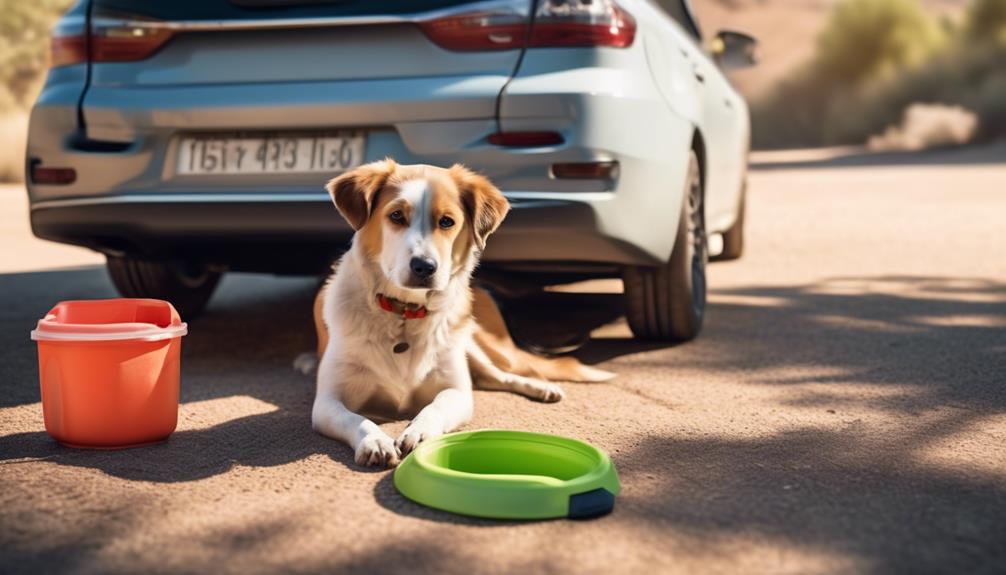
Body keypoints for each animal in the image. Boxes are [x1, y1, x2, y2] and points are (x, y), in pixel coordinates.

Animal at [297, 158, 611, 466]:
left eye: (447, 221)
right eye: (397, 216)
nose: (424, 266)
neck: (404, 314)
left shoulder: (457, 391)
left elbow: (437, 405)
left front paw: (420, 431)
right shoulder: (327, 402)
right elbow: (355, 419)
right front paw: (375, 440)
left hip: (472, 344)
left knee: (504, 374)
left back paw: (541, 388)